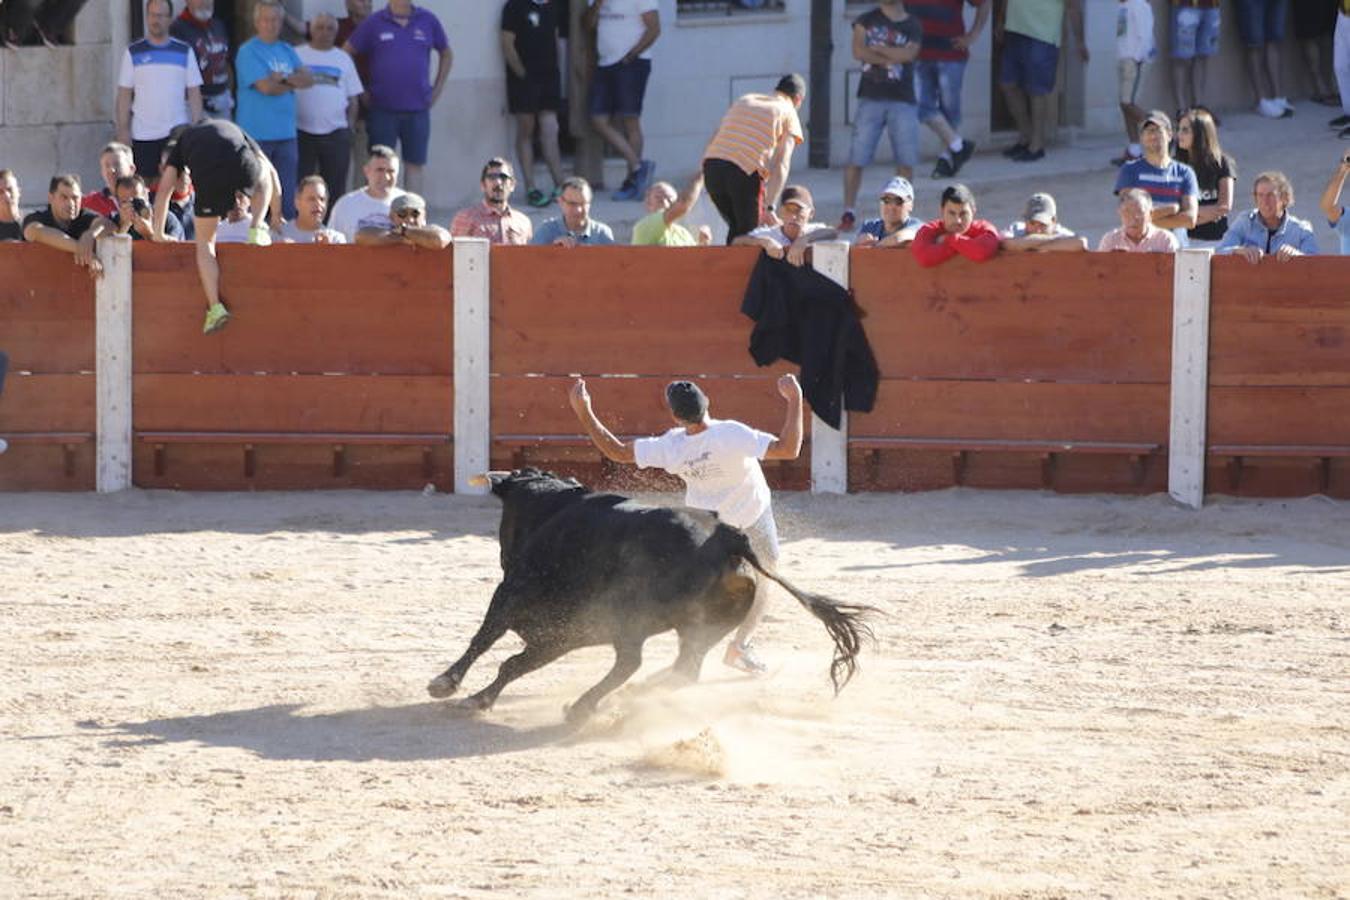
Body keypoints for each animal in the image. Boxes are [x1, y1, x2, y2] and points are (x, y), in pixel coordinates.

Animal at [426, 472, 880, 723]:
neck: (551, 510)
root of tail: (729, 538)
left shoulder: (518, 598)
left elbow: (488, 642)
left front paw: (453, 688)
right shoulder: (567, 630)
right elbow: (516, 660)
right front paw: (475, 695)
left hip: (629, 618)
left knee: (632, 662)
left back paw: (587, 705)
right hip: (702, 626)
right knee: (683, 668)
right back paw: (626, 697)